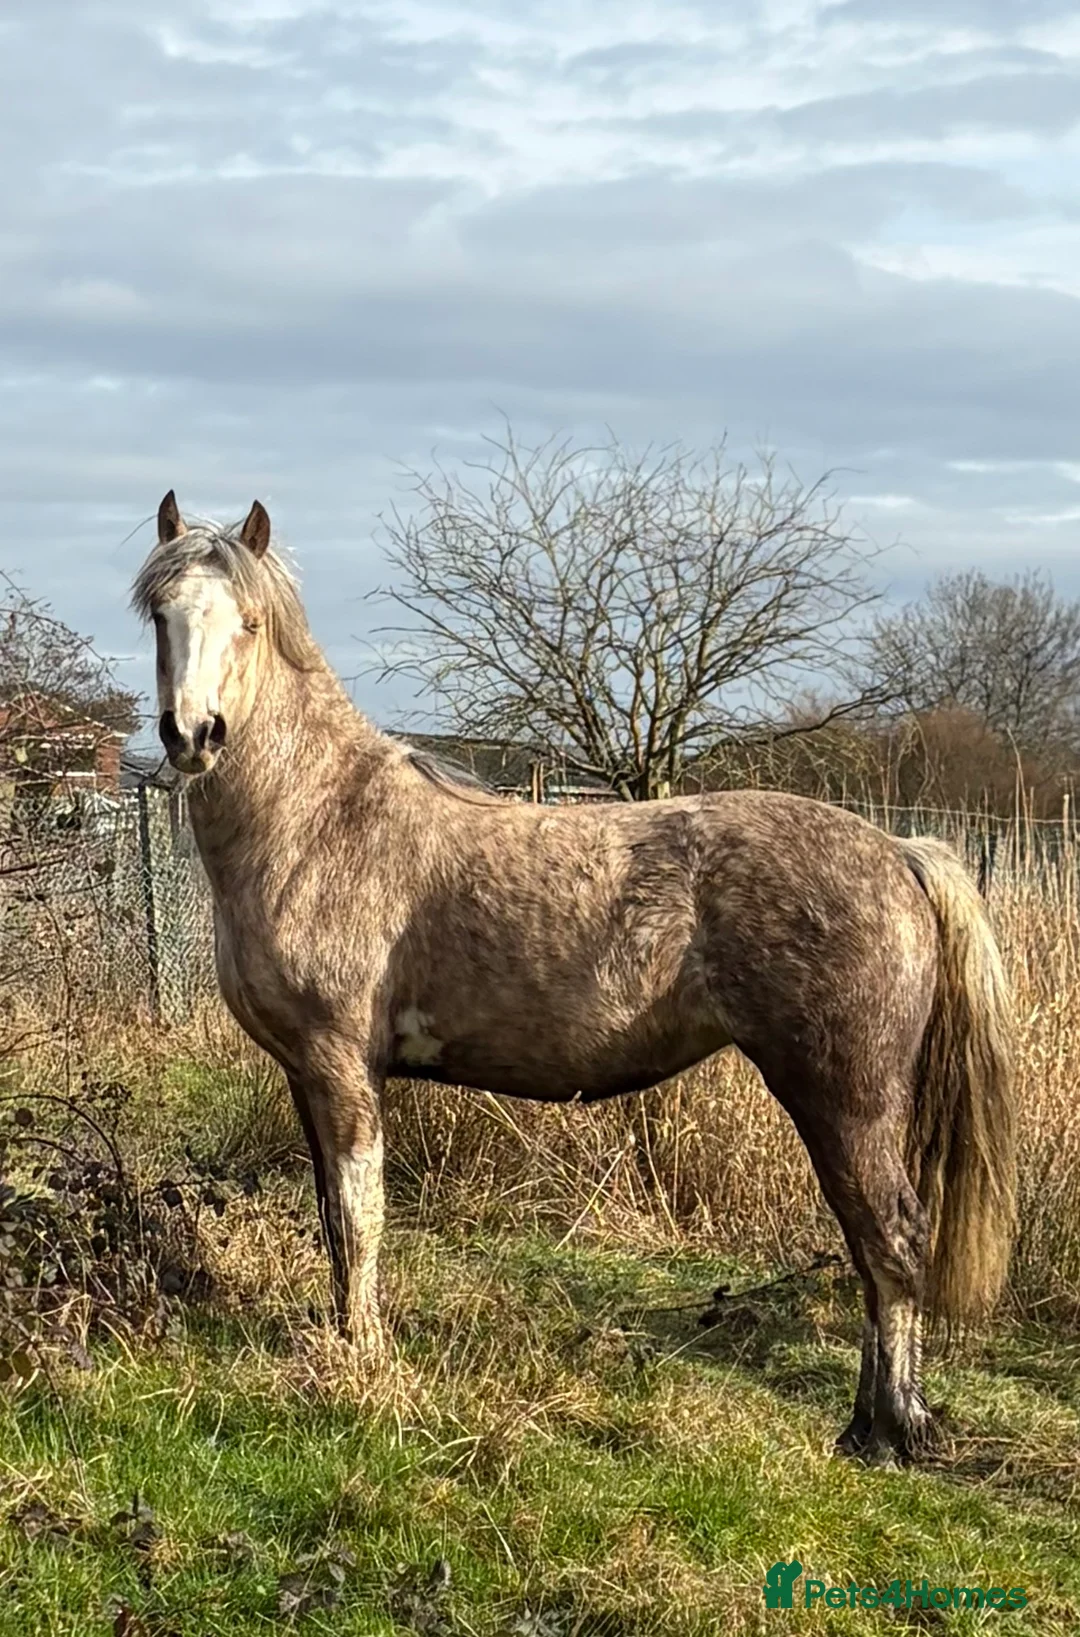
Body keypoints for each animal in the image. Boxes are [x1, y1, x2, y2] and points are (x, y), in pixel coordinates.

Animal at [132, 491, 1016, 1466]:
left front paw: (362, 1359)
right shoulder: (304, 1072)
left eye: (249, 622)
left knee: (892, 1241)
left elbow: (361, 1218)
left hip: (846, 1098)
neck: (322, 819)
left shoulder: (341, 1065)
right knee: (873, 1248)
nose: (192, 735)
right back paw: (867, 1424)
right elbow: (333, 1217)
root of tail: (898, 850)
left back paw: (891, 1431)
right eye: (160, 615)